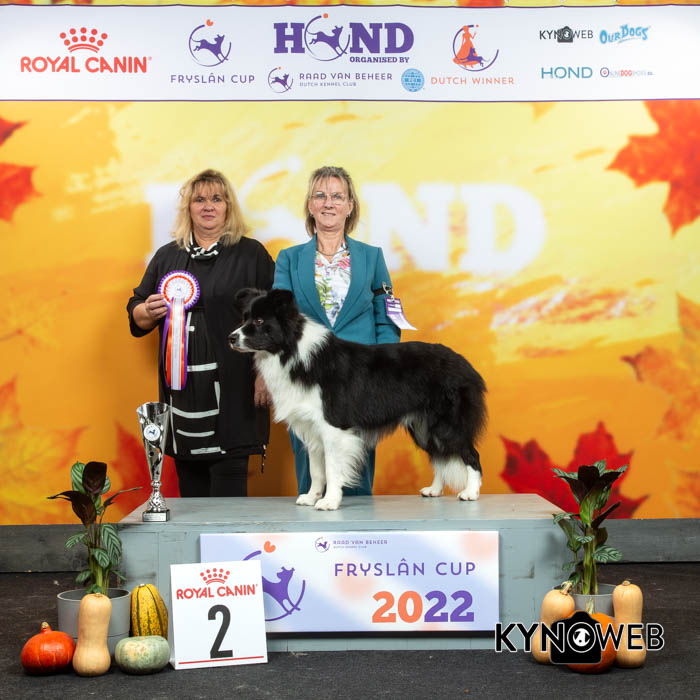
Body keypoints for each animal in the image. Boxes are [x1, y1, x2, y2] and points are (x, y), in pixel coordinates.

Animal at [229, 288, 487, 511]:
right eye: (245, 318)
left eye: (259, 321)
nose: (231, 338)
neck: (292, 351)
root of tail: (465, 364)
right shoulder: (313, 429)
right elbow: (316, 470)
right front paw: (312, 497)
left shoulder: (334, 427)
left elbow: (332, 469)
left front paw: (329, 501)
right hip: (424, 427)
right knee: (440, 456)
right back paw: (434, 490)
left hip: (447, 423)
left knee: (470, 454)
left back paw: (470, 493)